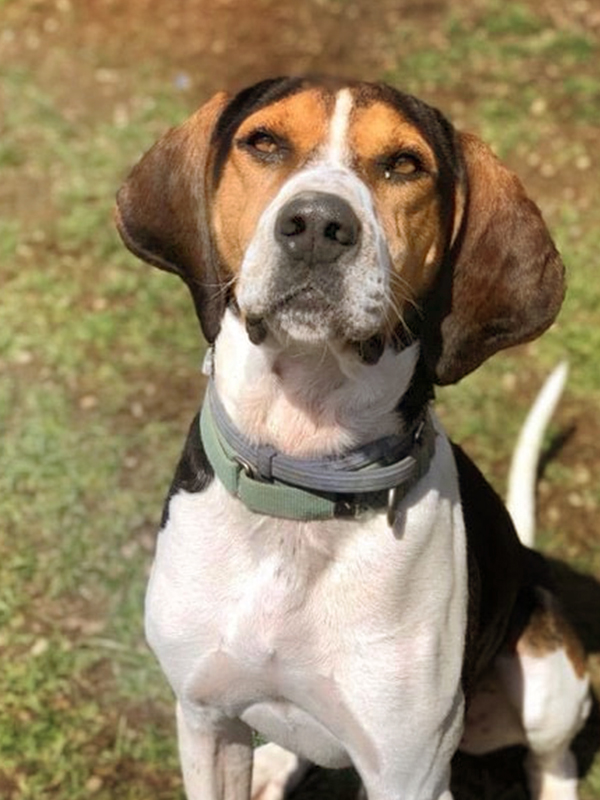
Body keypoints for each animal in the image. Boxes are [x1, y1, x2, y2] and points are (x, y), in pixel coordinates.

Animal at [113, 76, 592, 800]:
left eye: (404, 164)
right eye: (264, 142)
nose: (316, 224)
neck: (304, 477)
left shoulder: (408, 773)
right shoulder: (204, 719)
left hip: (549, 680)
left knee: (553, 758)